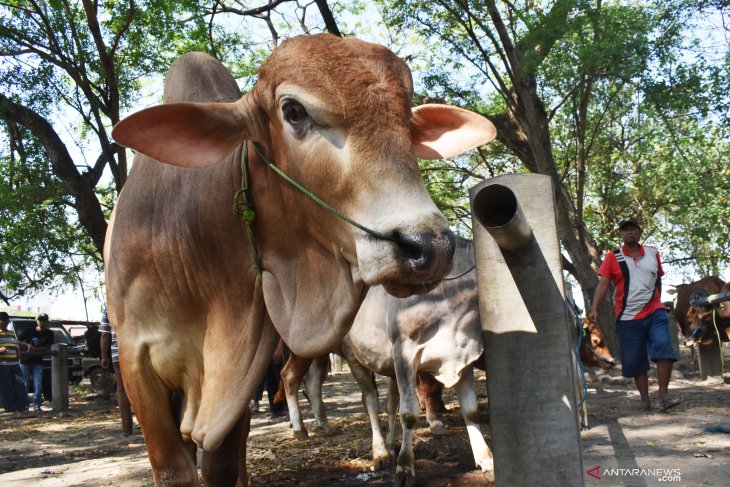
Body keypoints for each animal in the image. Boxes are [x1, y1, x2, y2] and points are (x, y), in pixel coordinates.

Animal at [102, 32, 494, 486]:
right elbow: (172, 469)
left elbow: (223, 466)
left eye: (408, 125)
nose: (429, 246)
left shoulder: (240, 379)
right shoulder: (135, 361)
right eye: (292, 110)